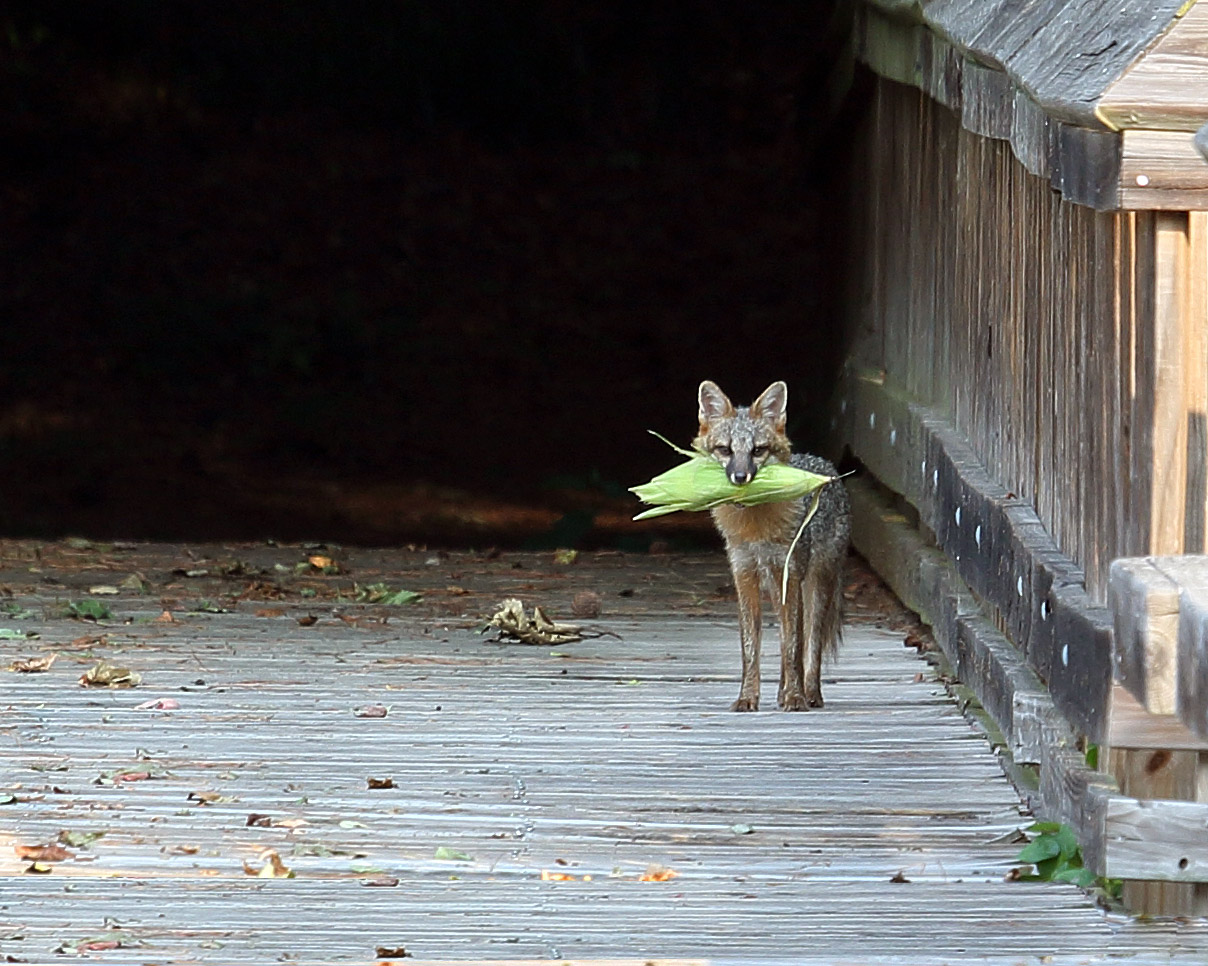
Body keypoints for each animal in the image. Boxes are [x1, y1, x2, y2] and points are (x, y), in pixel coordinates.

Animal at [695, 380, 851, 712]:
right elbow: (751, 649)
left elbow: (792, 646)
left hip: (814, 585)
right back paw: (783, 691)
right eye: (725, 450)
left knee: (808, 642)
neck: (756, 531)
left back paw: (809, 693)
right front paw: (747, 697)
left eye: (758, 451)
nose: (740, 477)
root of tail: (825, 464)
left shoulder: (788, 576)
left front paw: (795, 697)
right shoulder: (744, 577)